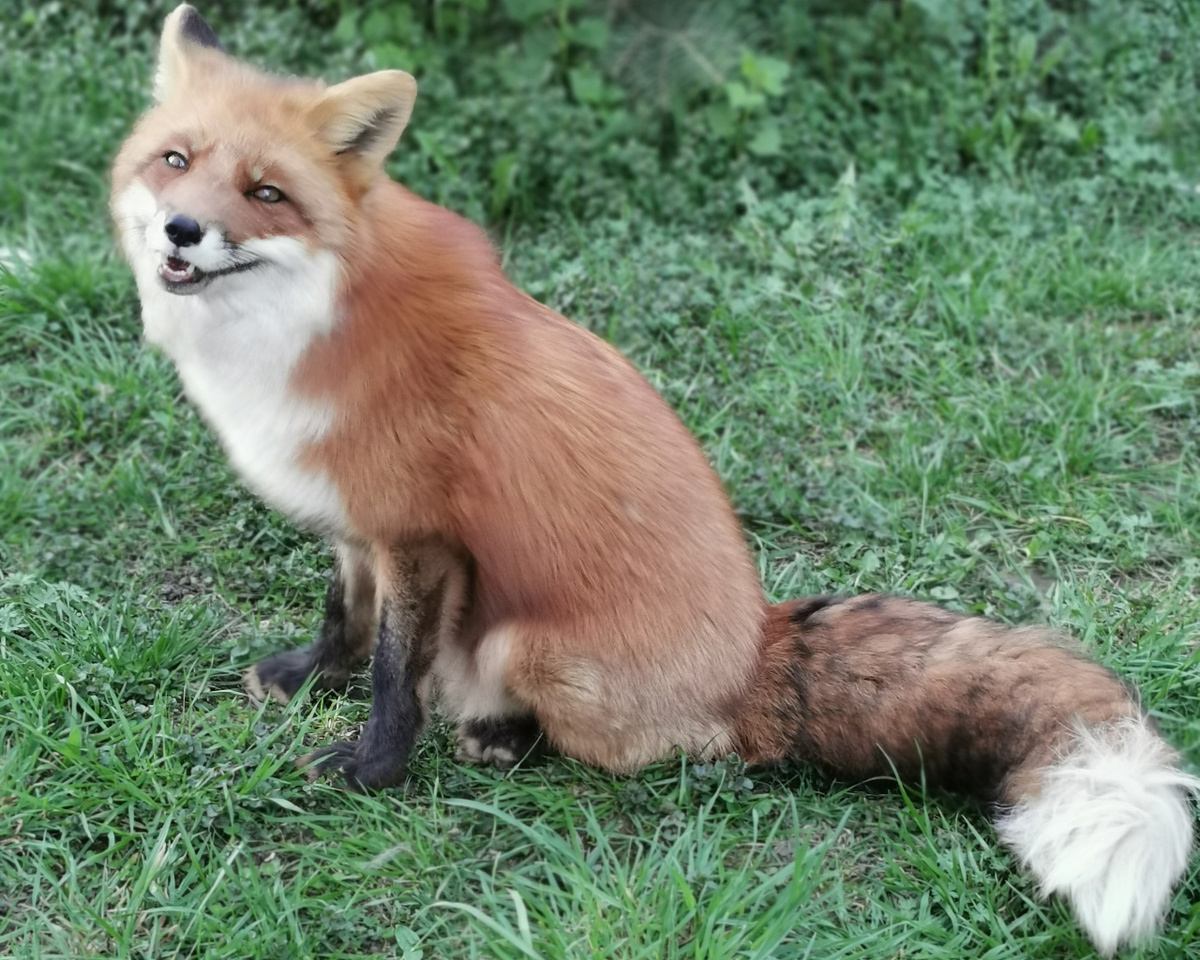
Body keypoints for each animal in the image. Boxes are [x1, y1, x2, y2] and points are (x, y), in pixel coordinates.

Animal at [110, 5, 1197, 955]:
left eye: (265, 193)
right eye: (177, 162)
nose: (180, 231)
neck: (313, 319)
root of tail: (754, 649)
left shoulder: (419, 536)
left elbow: (394, 673)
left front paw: (372, 768)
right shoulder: (356, 523)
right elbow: (344, 618)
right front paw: (305, 678)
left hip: (529, 645)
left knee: (653, 749)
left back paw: (504, 738)